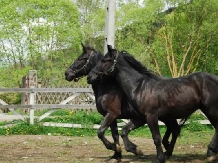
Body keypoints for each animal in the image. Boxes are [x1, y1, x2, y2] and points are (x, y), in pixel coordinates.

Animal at [87, 44, 218, 163]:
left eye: (104, 60)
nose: (89, 77)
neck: (139, 87)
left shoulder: (151, 116)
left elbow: (156, 138)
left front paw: (159, 159)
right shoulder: (140, 118)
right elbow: (124, 131)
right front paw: (136, 150)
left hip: (210, 110)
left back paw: (210, 153)